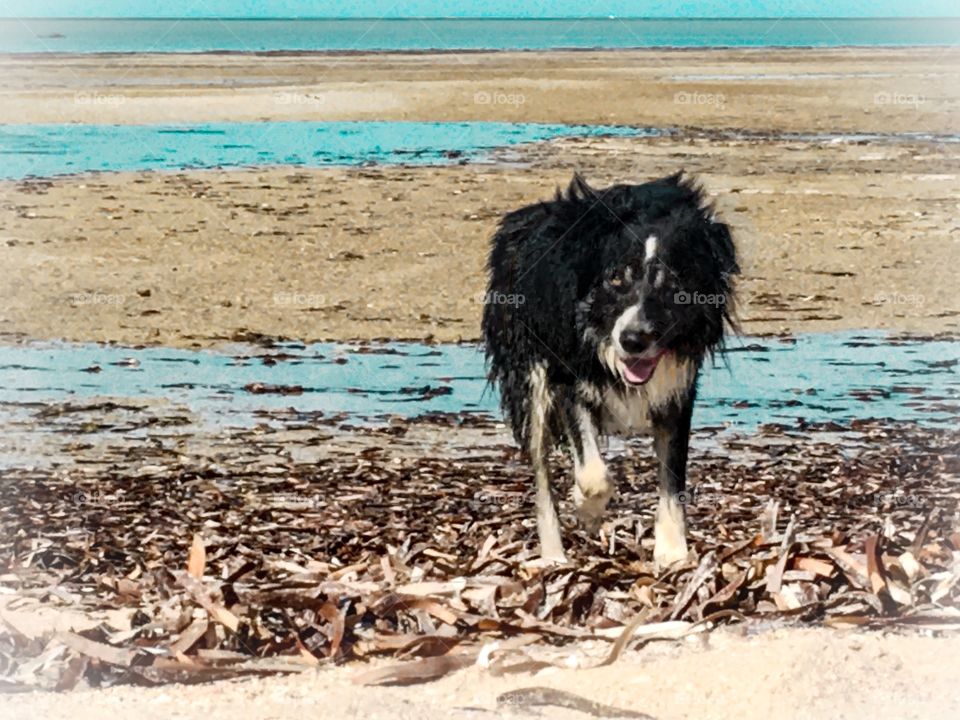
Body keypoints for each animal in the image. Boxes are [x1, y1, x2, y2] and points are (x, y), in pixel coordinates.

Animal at [484, 173, 740, 568]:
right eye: (616, 278)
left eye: (674, 284)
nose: (633, 340)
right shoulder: (567, 377)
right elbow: (593, 473)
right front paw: (588, 512)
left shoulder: (676, 389)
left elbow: (672, 476)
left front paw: (672, 551)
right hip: (530, 381)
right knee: (541, 472)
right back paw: (554, 555)